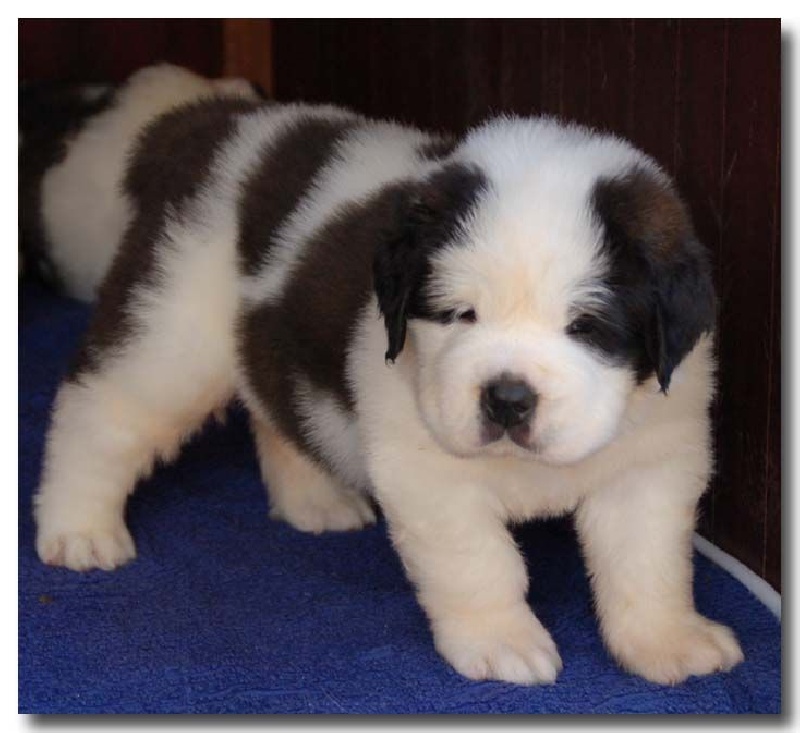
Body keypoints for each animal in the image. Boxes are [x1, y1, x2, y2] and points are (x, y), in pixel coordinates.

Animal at [30, 87, 744, 686]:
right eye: (459, 314)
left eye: (585, 326)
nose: (507, 398)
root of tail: (210, 122)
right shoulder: (428, 471)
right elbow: (480, 559)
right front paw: (501, 642)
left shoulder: (652, 456)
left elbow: (648, 559)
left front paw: (669, 641)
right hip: (170, 329)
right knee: (104, 413)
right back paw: (78, 528)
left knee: (277, 398)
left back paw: (314, 500)